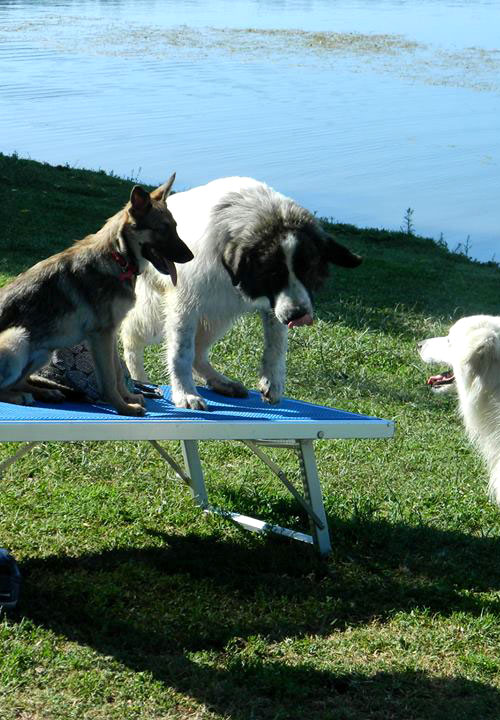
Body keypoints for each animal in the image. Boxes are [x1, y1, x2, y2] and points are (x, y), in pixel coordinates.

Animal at [0, 171, 193, 414]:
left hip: (44, 351)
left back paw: (45, 392)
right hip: (17, 339)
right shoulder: (101, 334)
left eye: (175, 227)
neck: (117, 257)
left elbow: (118, 374)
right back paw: (20, 396)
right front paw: (124, 408)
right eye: (162, 229)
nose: (191, 257)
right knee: (3, 388)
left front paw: (128, 397)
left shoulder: (111, 332)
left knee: (19, 381)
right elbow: (109, 379)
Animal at [121, 176, 364, 410]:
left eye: (308, 270)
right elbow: (181, 353)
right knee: (131, 336)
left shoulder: (273, 305)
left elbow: (276, 345)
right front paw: (185, 393)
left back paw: (219, 381)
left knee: (199, 353)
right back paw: (137, 377)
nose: (297, 316)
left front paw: (272, 381)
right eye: (273, 273)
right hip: (157, 315)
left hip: (217, 314)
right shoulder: (184, 306)